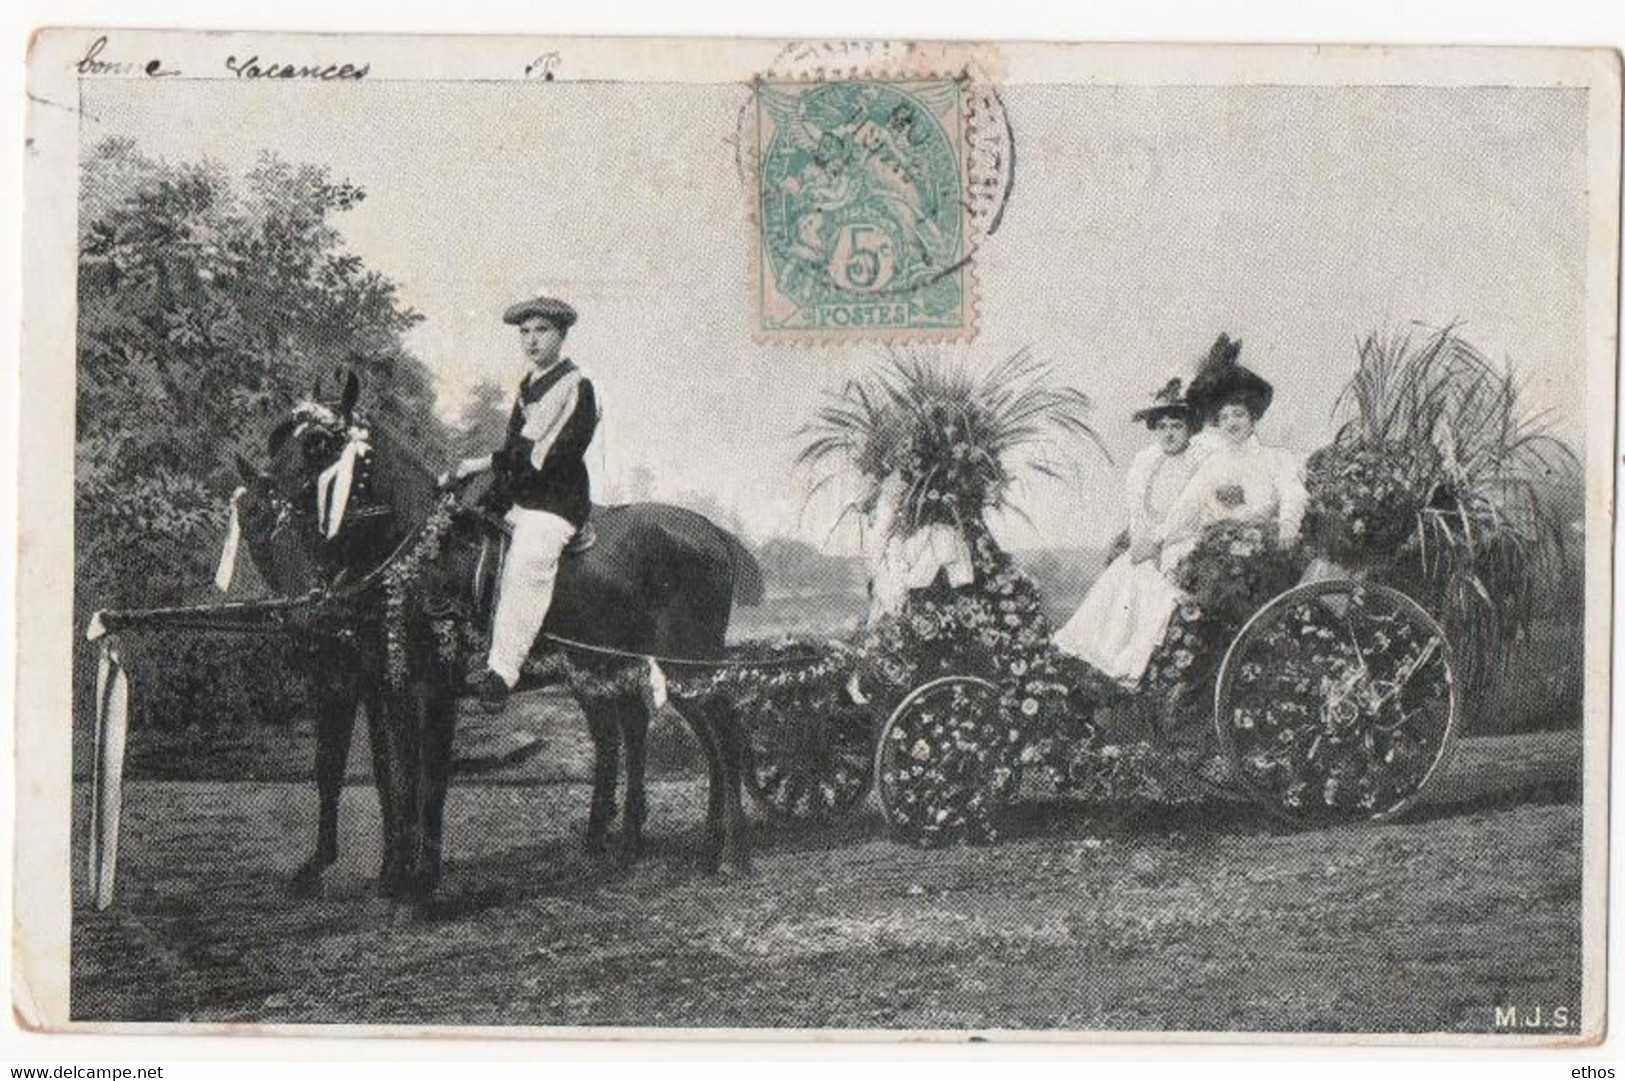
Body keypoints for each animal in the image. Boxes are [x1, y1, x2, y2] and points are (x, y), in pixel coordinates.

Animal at [234, 375, 760, 897]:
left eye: (318, 443)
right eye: (277, 440)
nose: (259, 501)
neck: (416, 553)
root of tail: (713, 532)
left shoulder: (429, 689)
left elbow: (426, 779)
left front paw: (420, 881)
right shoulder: (389, 686)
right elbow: (396, 776)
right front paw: (394, 874)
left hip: (686, 666)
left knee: (725, 733)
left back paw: (731, 851)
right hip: (623, 669)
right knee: (661, 735)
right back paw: (660, 846)